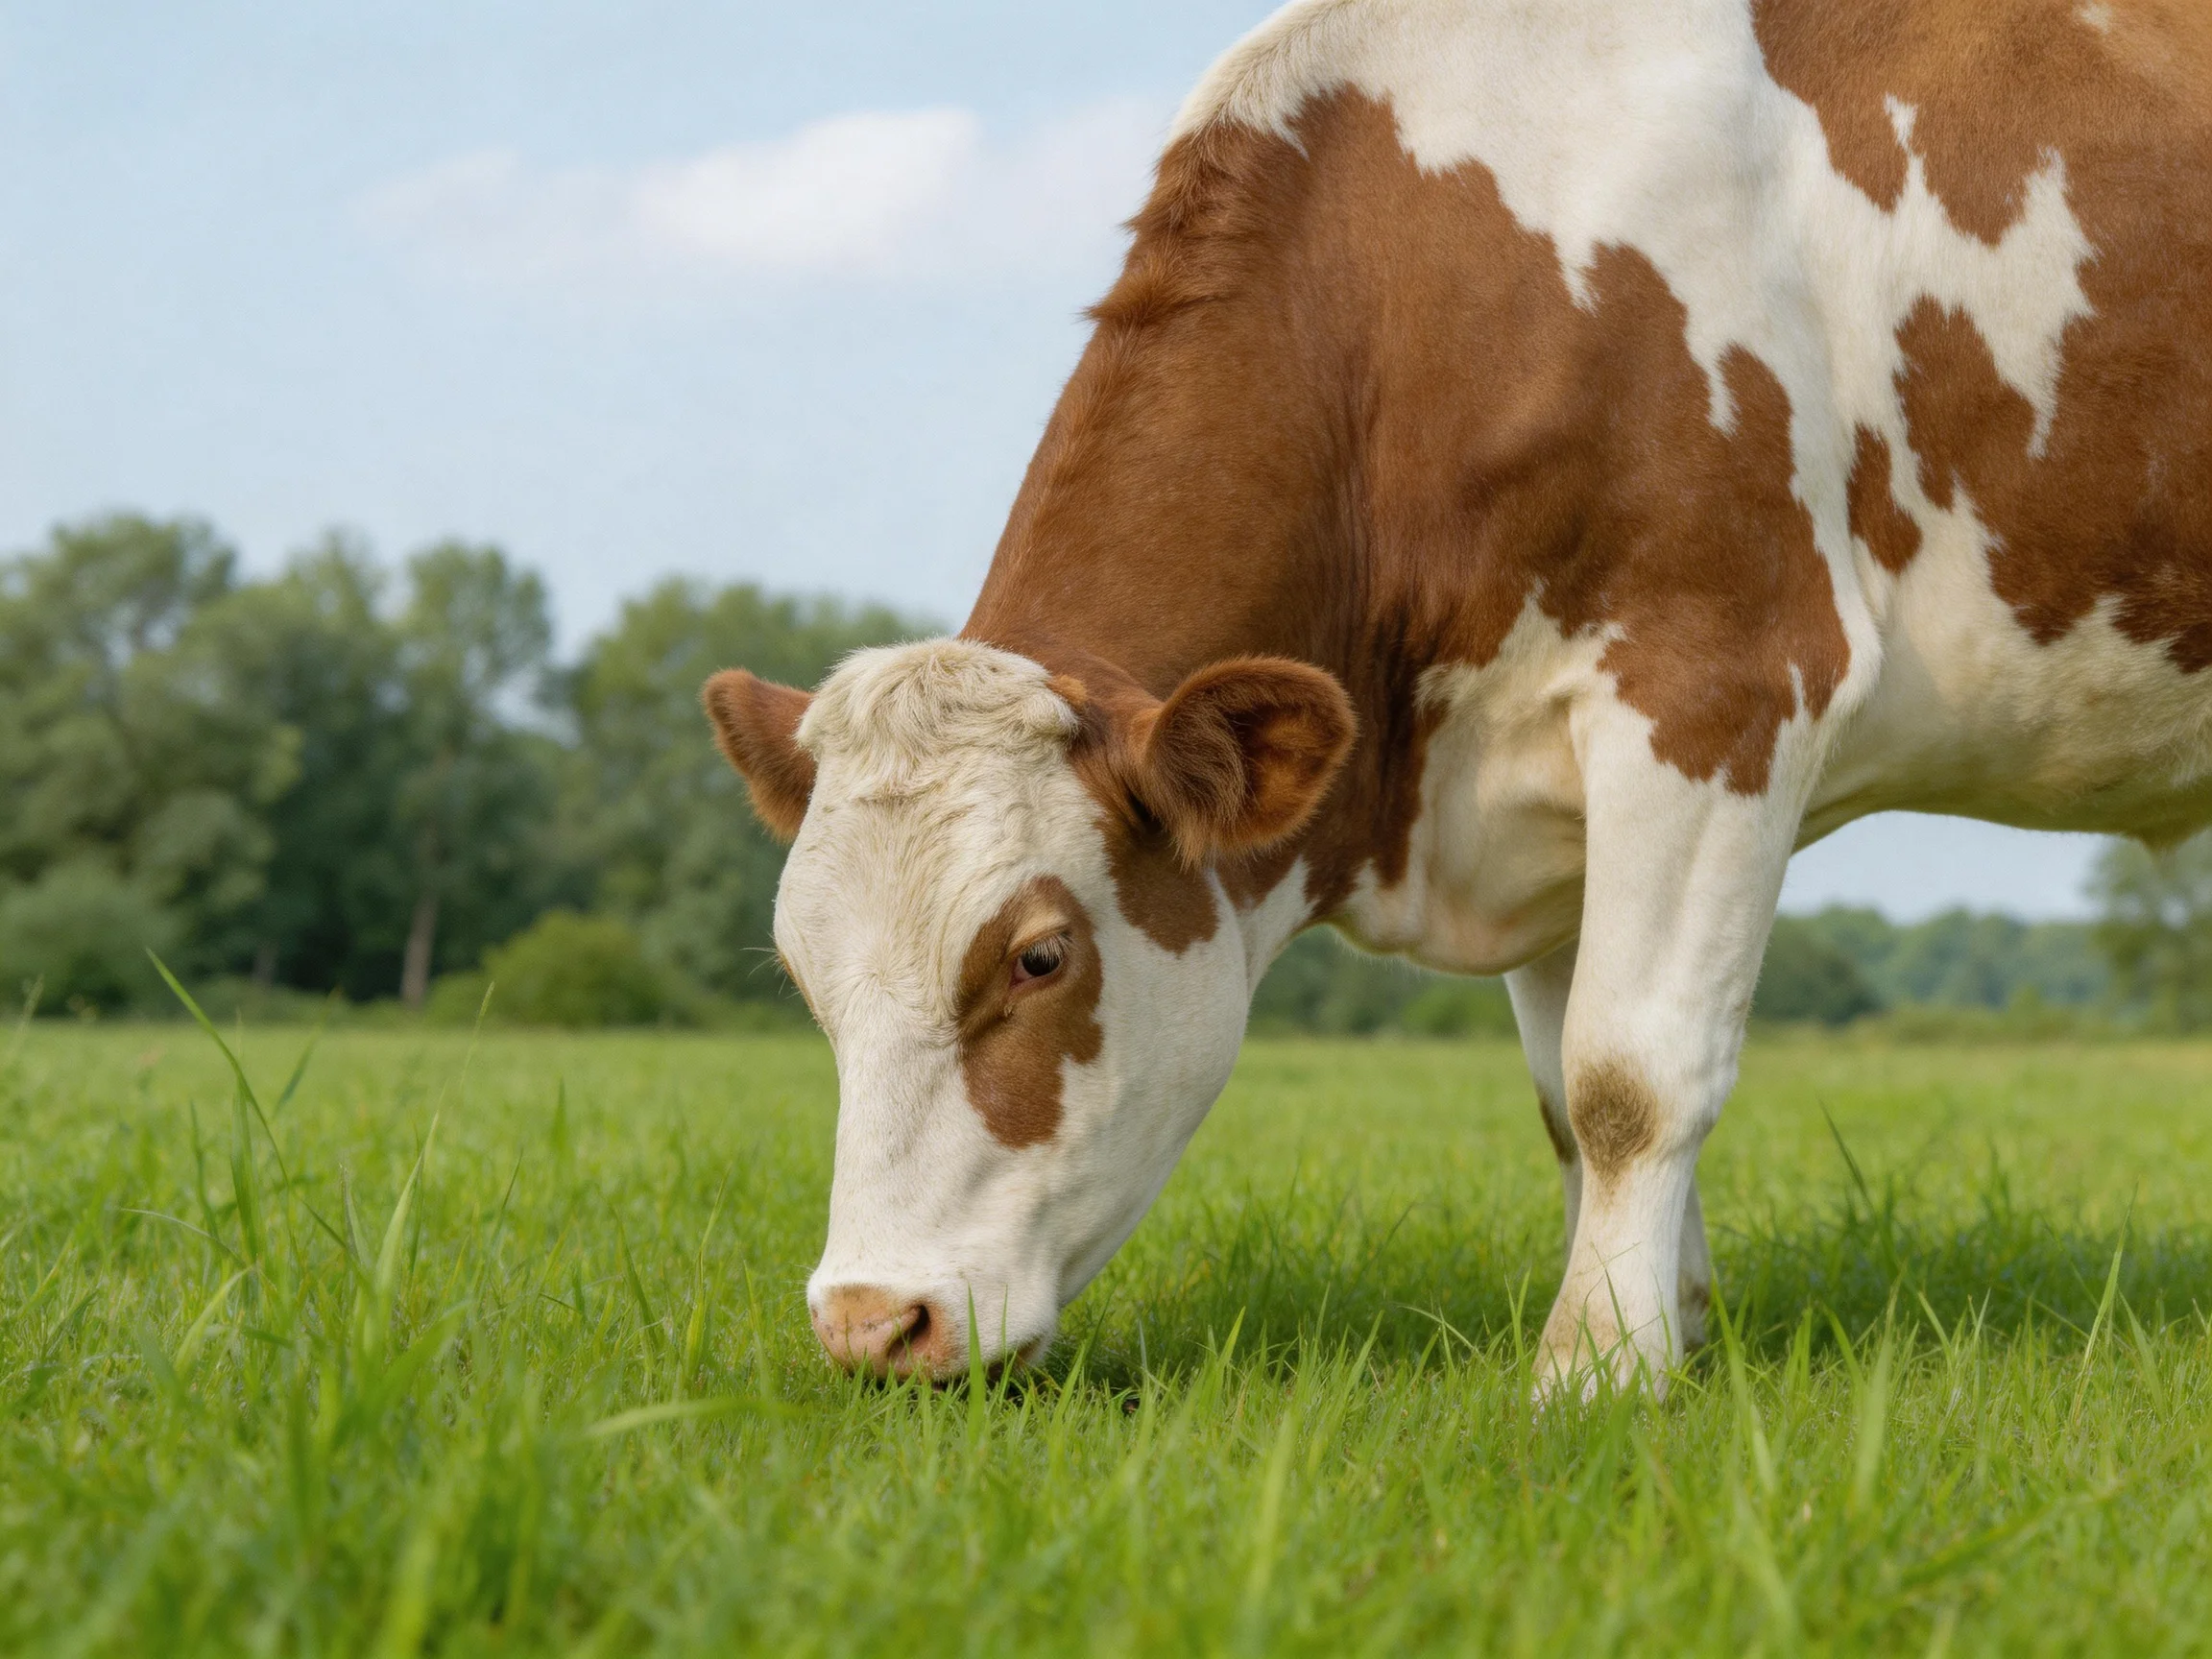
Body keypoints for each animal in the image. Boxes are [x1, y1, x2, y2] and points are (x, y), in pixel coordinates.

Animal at [704, 0, 2212, 1393]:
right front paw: (1674, 1334)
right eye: (798, 969)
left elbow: (1631, 1074)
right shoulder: (1543, 793)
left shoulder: (1719, 683)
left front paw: (1593, 1374)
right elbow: (1565, 1098)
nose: (870, 1322)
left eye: (1038, 958)